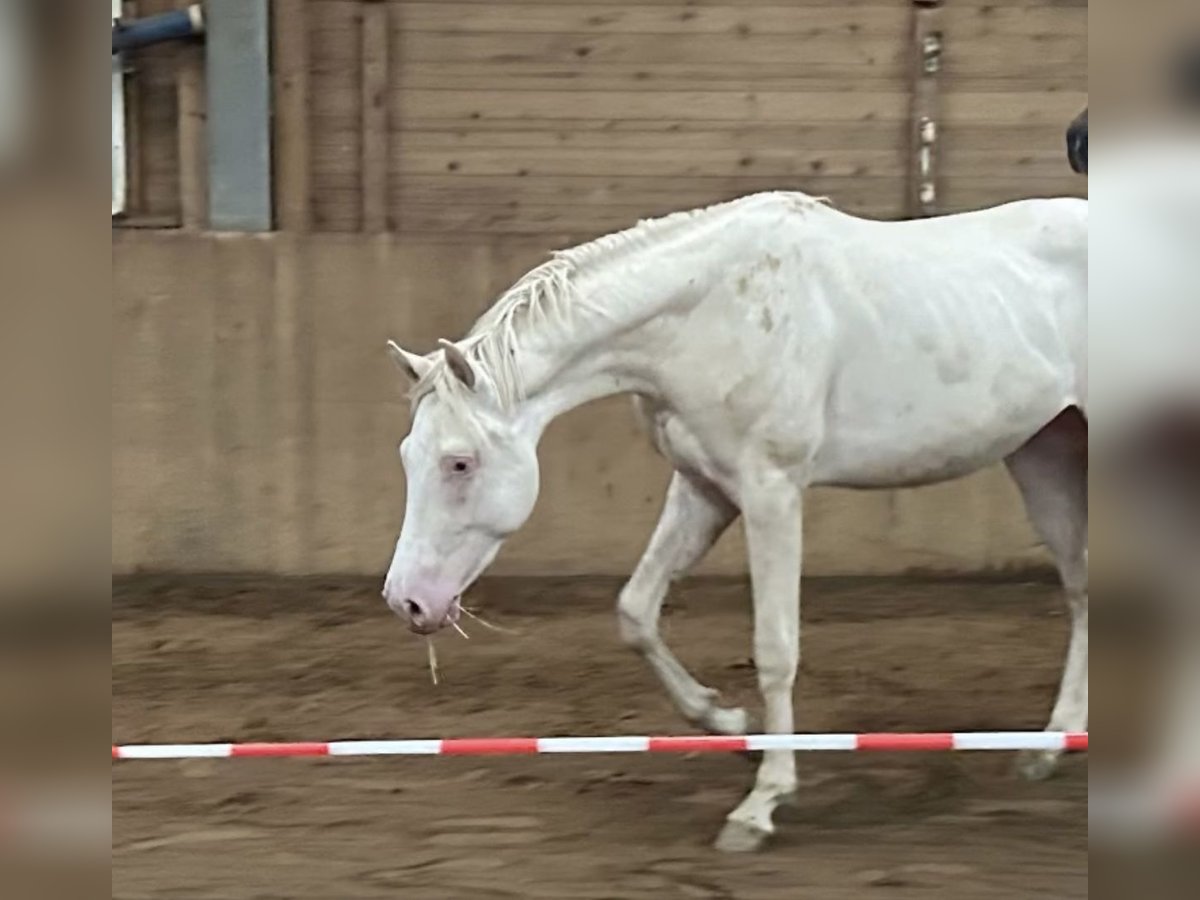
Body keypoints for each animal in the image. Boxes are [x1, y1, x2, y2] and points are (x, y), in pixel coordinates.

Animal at [384, 190, 1089, 854]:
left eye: (459, 462)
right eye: (409, 455)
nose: (407, 602)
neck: (710, 315)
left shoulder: (772, 494)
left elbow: (775, 650)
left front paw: (761, 803)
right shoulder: (703, 490)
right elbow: (636, 611)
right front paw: (728, 723)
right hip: (1043, 454)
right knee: (1081, 589)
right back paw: (1050, 745)